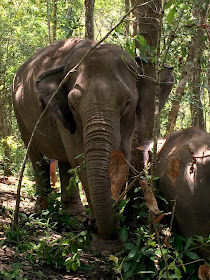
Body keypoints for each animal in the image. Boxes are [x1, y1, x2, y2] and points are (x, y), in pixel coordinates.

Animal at [12, 37, 175, 252]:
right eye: (73, 105)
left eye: (127, 103)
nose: (92, 224)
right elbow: (79, 156)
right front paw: (104, 239)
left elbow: (121, 155)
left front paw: (101, 226)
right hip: (18, 111)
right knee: (35, 154)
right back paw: (43, 211)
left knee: (64, 161)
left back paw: (74, 215)